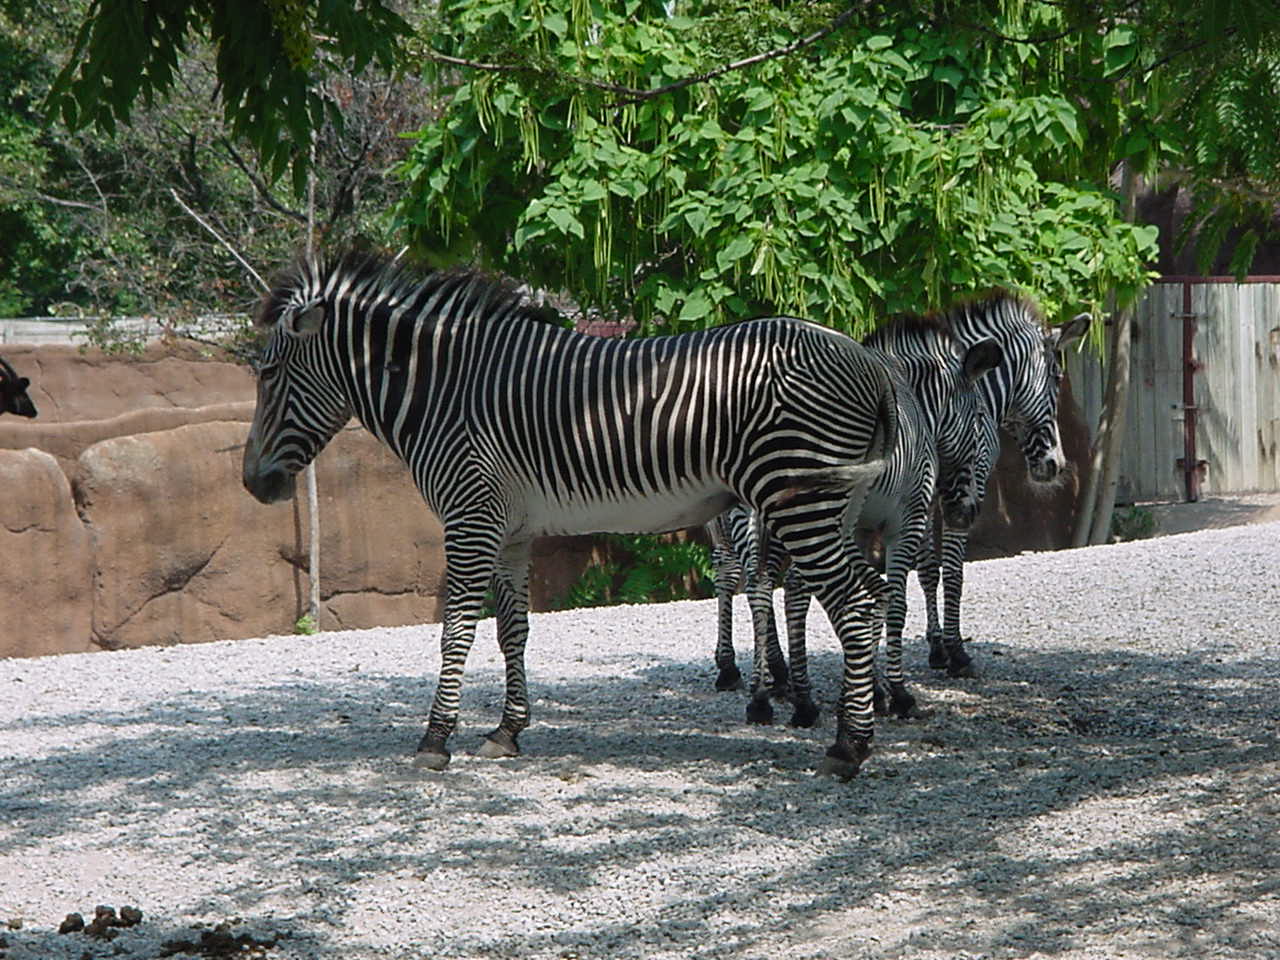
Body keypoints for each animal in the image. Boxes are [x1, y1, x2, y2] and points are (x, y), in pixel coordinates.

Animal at [241, 249, 901, 780]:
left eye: (269, 374)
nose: (252, 483)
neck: (444, 395)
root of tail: (868, 363)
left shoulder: (470, 517)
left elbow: (456, 630)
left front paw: (435, 739)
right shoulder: (508, 530)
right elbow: (512, 630)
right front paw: (507, 731)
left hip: (798, 495)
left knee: (854, 602)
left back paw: (848, 748)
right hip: (832, 503)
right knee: (869, 593)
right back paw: (857, 722)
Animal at [710, 323, 1002, 726]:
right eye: (980, 419)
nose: (967, 513)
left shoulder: (862, 530)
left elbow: (870, 598)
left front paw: (869, 690)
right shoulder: (905, 522)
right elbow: (893, 601)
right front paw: (894, 692)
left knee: (756, 585)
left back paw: (762, 696)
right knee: (787, 588)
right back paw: (797, 698)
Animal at [914, 297, 1090, 677]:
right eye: (1057, 378)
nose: (1056, 465)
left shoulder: (930, 495)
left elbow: (927, 572)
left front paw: (937, 648)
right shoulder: (967, 485)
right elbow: (952, 572)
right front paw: (957, 652)